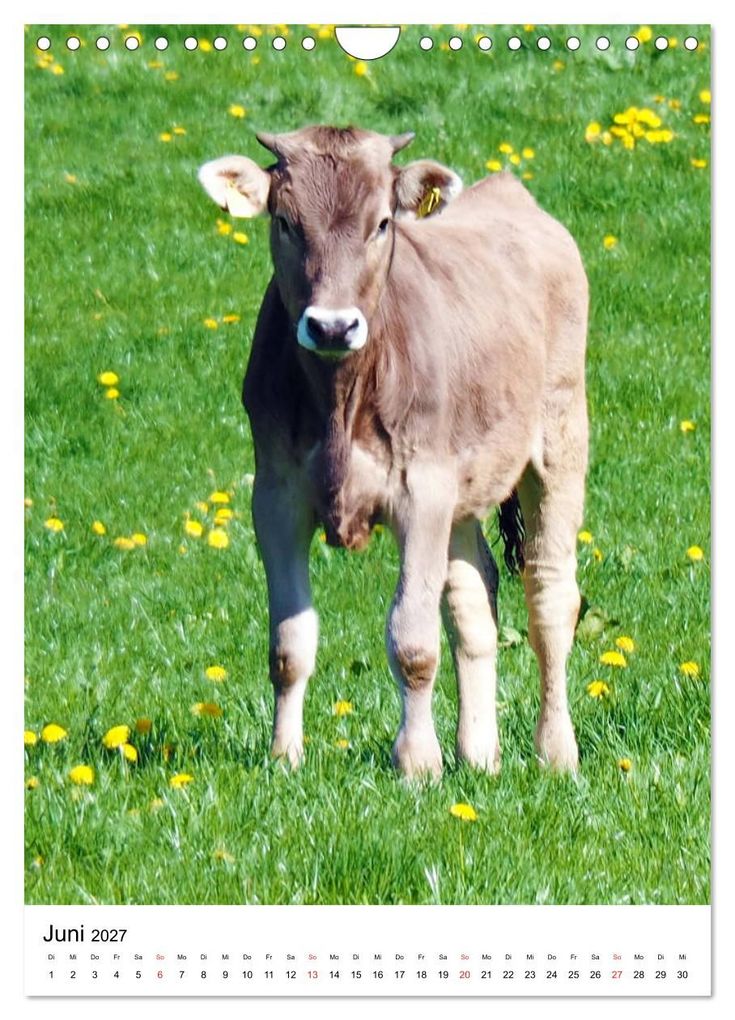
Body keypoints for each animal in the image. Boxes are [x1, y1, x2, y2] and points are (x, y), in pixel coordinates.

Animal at [198, 125, 588, 779]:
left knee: (550, 595)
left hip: (561, 437)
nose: (331, 326)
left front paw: (417, 763)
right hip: (463, 486)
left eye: (382, 223)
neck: (341, 399)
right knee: (474, 598)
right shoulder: (276, 496)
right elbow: (289, 644)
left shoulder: (420, 493)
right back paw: (479, 754)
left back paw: (555, 752)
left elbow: (412, 640)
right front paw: (284, 757)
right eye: (285, 221)